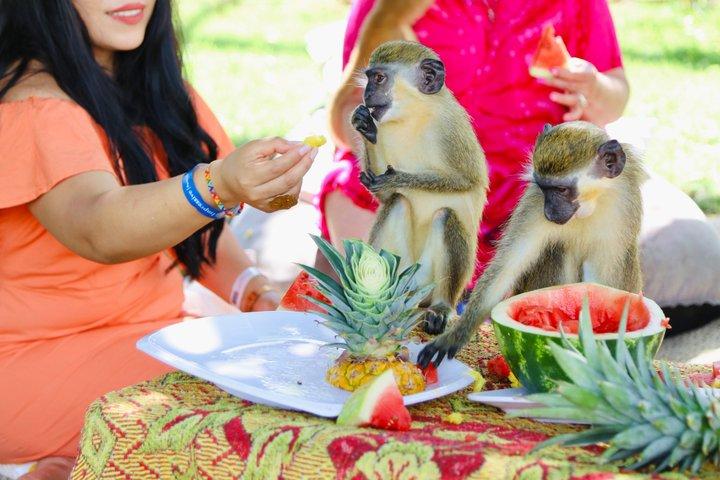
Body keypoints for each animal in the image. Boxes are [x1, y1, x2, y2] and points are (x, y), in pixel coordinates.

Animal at [350, 40, 489, 335]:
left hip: (429, 281)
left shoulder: (451, 129)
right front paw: (365, 125)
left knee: (446, 216)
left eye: (379, 78)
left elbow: (467, 181)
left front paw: (397, 178)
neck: (413, 116)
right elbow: (386, 197)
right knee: (397, 203)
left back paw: (440, 307)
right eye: (370, 78)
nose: (367, 95)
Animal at [418, 120, 647, 367]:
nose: (550, 212)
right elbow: (507, 267)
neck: (590, 205)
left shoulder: (623, 208)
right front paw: (456, 336)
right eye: (545, 187)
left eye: (561, 189)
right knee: (558, 249)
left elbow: (602, 288)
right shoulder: (534, 202)